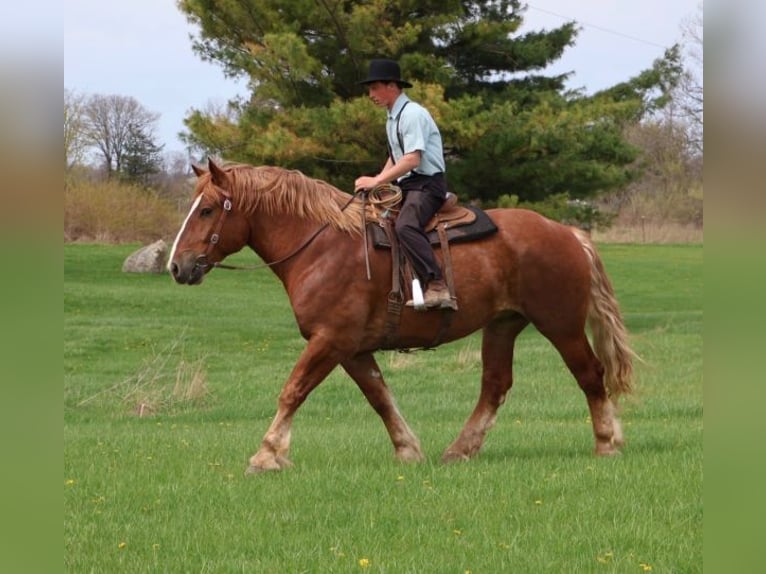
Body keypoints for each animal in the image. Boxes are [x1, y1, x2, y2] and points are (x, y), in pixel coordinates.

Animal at [168, 158, 635, 474]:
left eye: (207, 210)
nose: (177, 266)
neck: (321, 246)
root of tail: (566, 232)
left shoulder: (329, 340)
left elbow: (293, 391)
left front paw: (267, 454)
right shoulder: (351, 350)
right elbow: (380, 398)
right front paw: (407, 449)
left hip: (561, 324)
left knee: (590, 375)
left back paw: (607, 442)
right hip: (503, 325)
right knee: (495, 386)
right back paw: (460, 449)